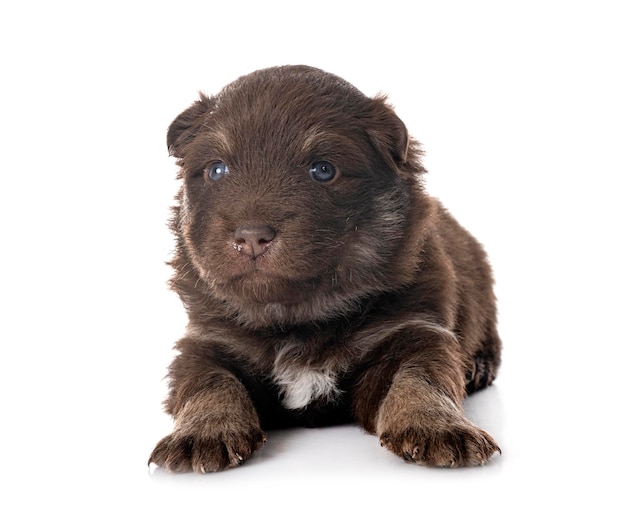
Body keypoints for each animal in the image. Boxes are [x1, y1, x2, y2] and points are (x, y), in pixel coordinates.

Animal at [149, 64, 500, 472]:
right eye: (217, 170)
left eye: (322, 170)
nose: (251, 237)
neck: (298, 319)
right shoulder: (208, 340)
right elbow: (208, 383)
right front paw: (202, 433)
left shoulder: (414, 326)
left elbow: (421, 377)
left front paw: (438, 426)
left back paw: (478, 367)